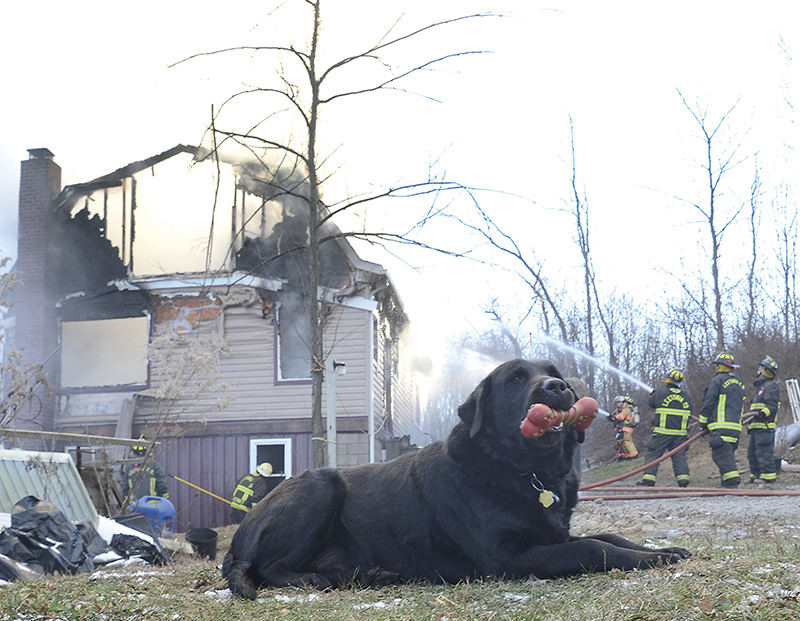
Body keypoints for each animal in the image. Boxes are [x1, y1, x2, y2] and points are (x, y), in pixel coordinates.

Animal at [222, 358, 692, 596]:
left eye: (553, 373)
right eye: (515, 379)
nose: (558, 387)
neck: (526, 472)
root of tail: (238, 537)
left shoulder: (552, 533)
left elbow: (610, 537)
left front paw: (665, 549)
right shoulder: (507, 557)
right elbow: (594, 548)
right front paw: (651, 558)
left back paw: (373, 575)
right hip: (318, 486)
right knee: (268, 567)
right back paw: (312, 579)